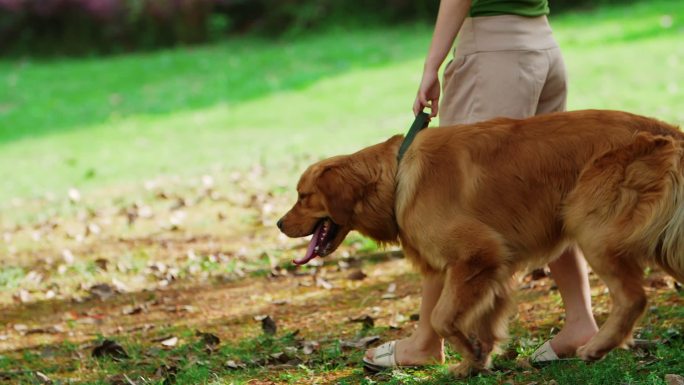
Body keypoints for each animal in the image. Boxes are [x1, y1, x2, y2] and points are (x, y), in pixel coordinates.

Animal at [276, 109, 684, 376]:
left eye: (302, 196)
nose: (279, 224)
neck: (397, 175)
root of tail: (667, 130)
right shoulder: (492, 268)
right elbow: (485, 318)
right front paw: (476, 361)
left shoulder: (477, 254)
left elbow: (441, 317)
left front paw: (469, 352)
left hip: (589, 225)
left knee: (633, 298)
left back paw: (598, 346)